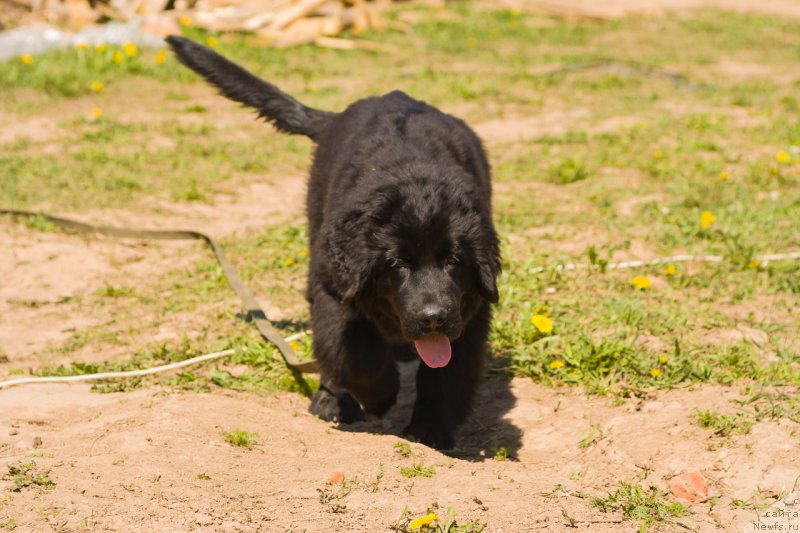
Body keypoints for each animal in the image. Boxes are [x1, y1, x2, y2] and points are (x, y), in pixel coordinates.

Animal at [167, 35, 500, 446]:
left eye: (454, 261)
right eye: (397, 264)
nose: (433, 317)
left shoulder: (469, 309)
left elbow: (447, 373)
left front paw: (430, 431)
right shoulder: (334, 285)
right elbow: (353, 353)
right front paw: (378, 396)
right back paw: (331, 398)